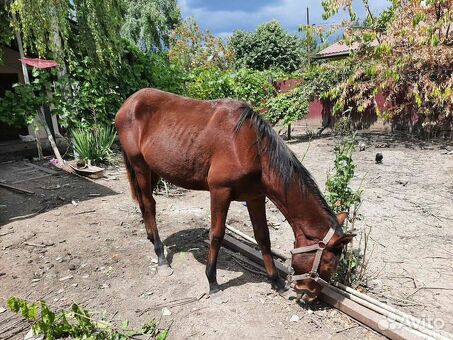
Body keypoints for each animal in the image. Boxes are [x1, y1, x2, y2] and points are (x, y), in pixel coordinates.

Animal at [114, 88, 354, 302]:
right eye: (329, 264)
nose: (309, 295)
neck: (251, 148)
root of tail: (129, 103)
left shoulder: (255, 196)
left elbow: (263, 237)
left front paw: (276, 282)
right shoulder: (220, 192)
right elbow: (217, 235)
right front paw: (212, 283)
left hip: (152, 170)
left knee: (144, 205)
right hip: (140, 167)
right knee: (149, 204)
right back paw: (161, 256)